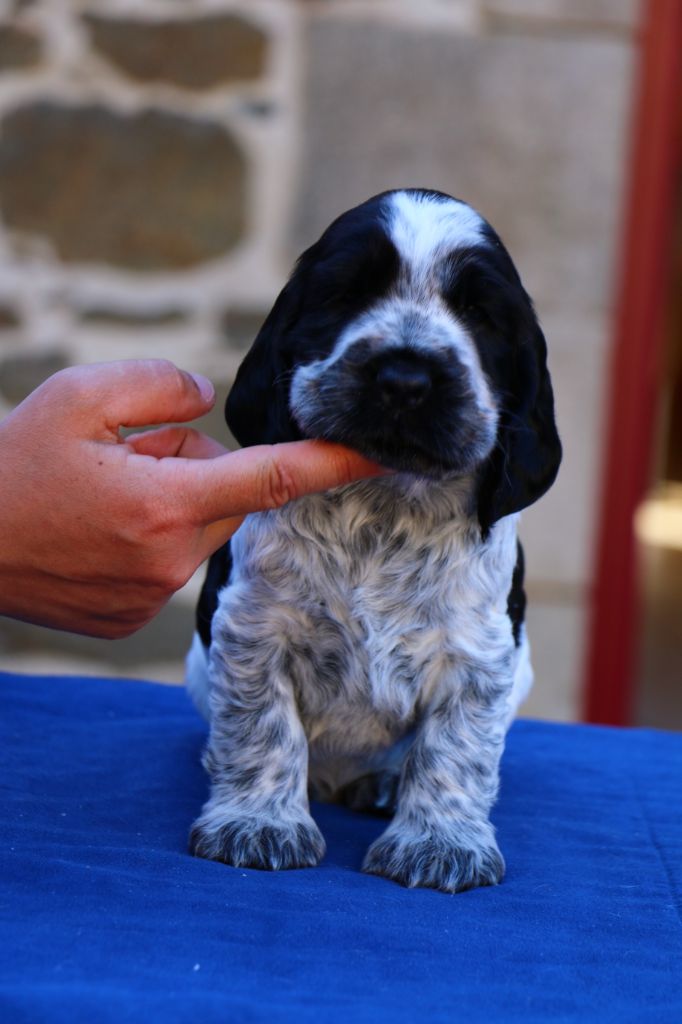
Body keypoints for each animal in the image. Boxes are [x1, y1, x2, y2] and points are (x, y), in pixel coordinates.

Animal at [186, 188, 561, 893]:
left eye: (478, 313)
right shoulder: (255, 628)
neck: (384, 505)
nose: (405, 380)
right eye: (347, 294)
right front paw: (257, 824)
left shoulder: (480, 656)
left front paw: (439, 844)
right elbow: (262, 725)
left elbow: (454, 749)